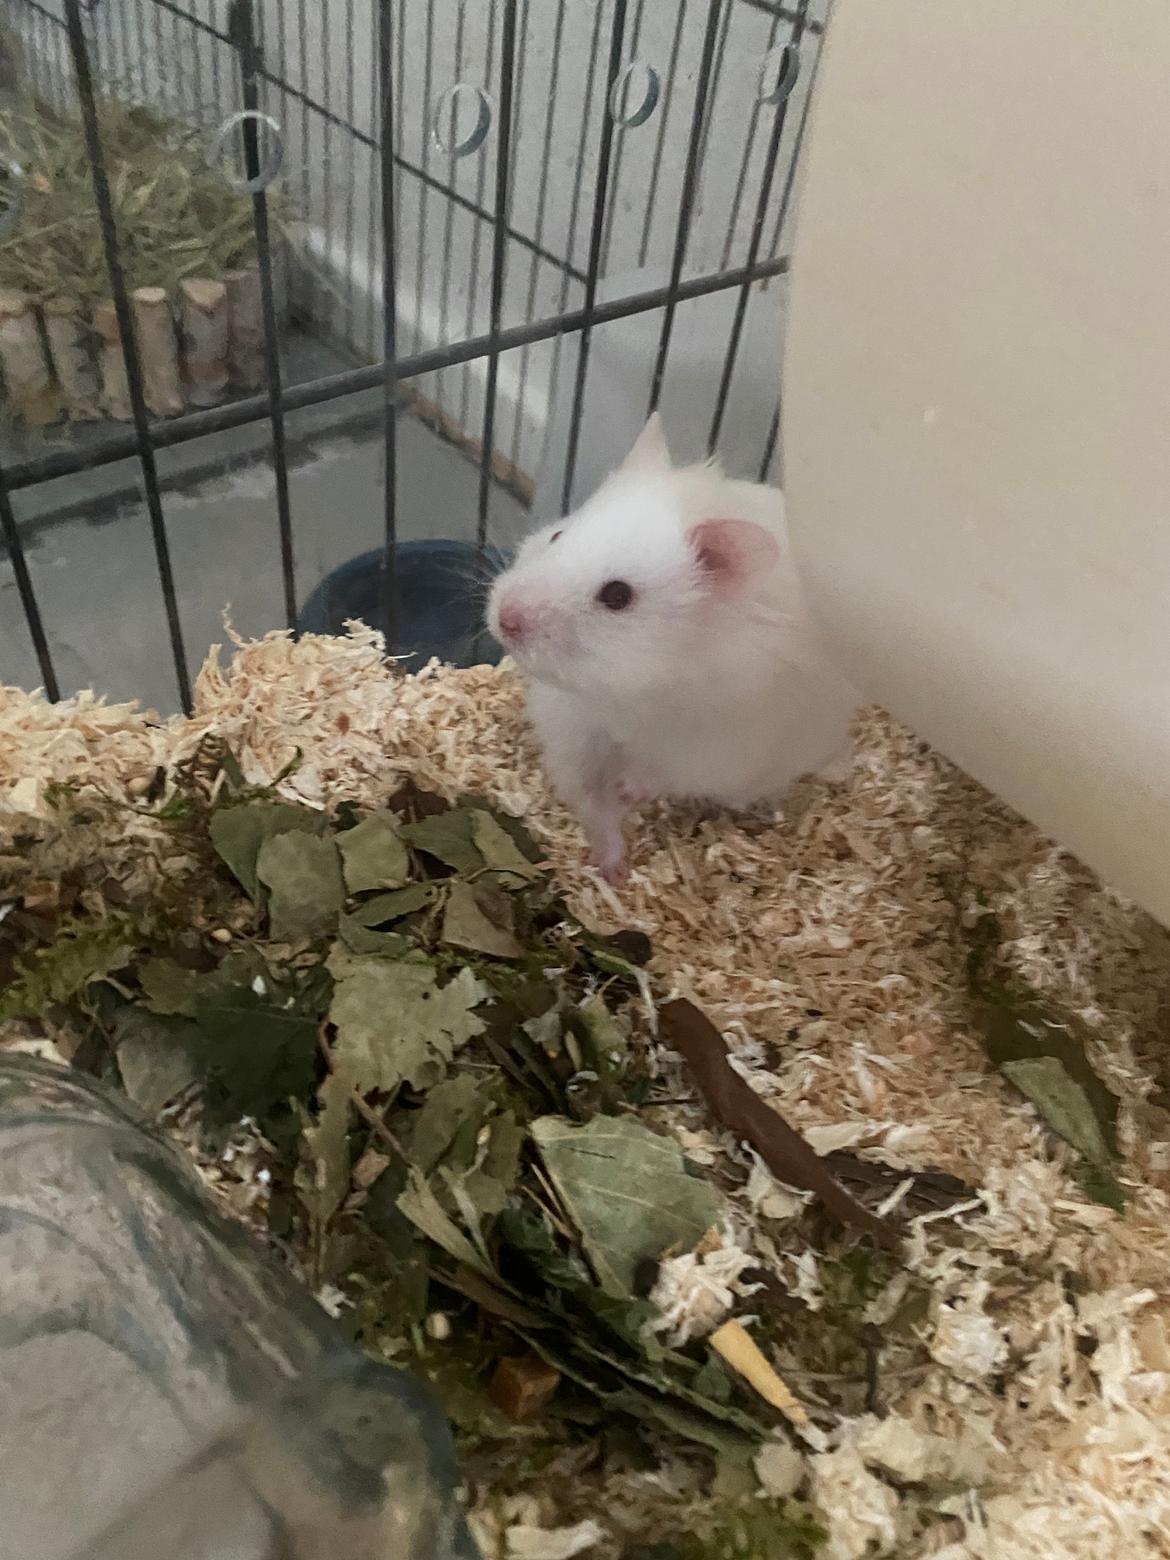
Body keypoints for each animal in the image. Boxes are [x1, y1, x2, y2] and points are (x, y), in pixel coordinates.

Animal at [486, 414, 862, 885]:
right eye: (557, 536)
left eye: (617, 595)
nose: (505, 618)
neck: (635, 693)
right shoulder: (574, 728)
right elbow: (592, 801)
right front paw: (614, 868)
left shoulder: (715, 750)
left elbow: (657, 777)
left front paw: (626, 794)